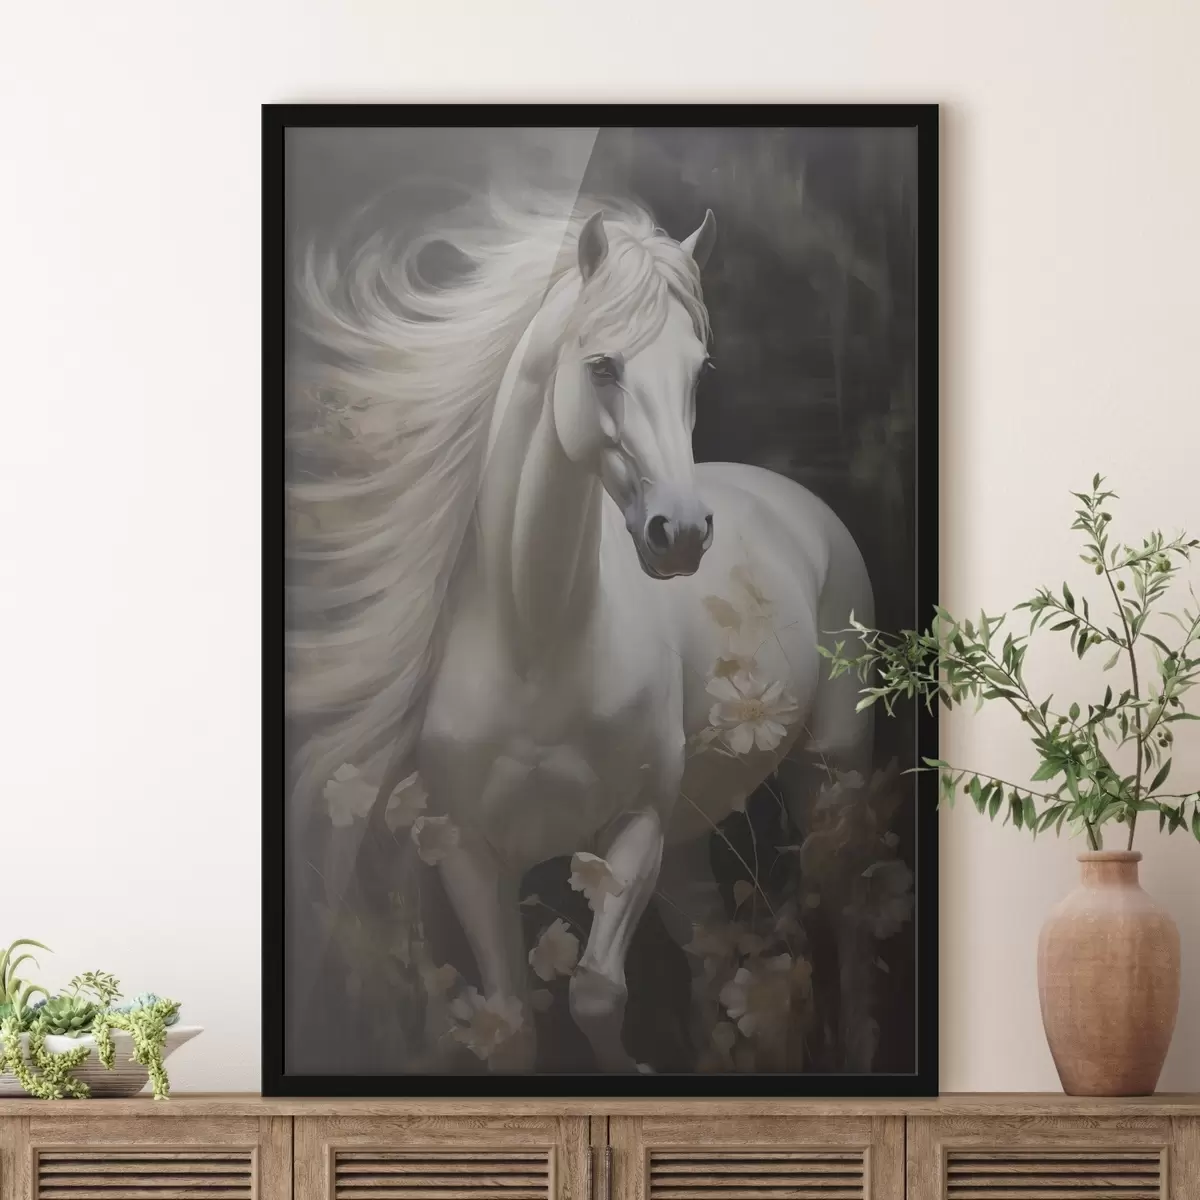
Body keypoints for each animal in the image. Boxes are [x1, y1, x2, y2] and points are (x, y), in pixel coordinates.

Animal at [288, 191, 874, 1072]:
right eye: (602, 366)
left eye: (698, 370)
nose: (682, 534)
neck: (536, 647)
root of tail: (798, 505)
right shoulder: (467, 853)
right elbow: (510, 1020)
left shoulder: (633, 830)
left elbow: (598, 993)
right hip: (691, 837)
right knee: (709, 949)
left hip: (828, 775)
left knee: (837, 915)